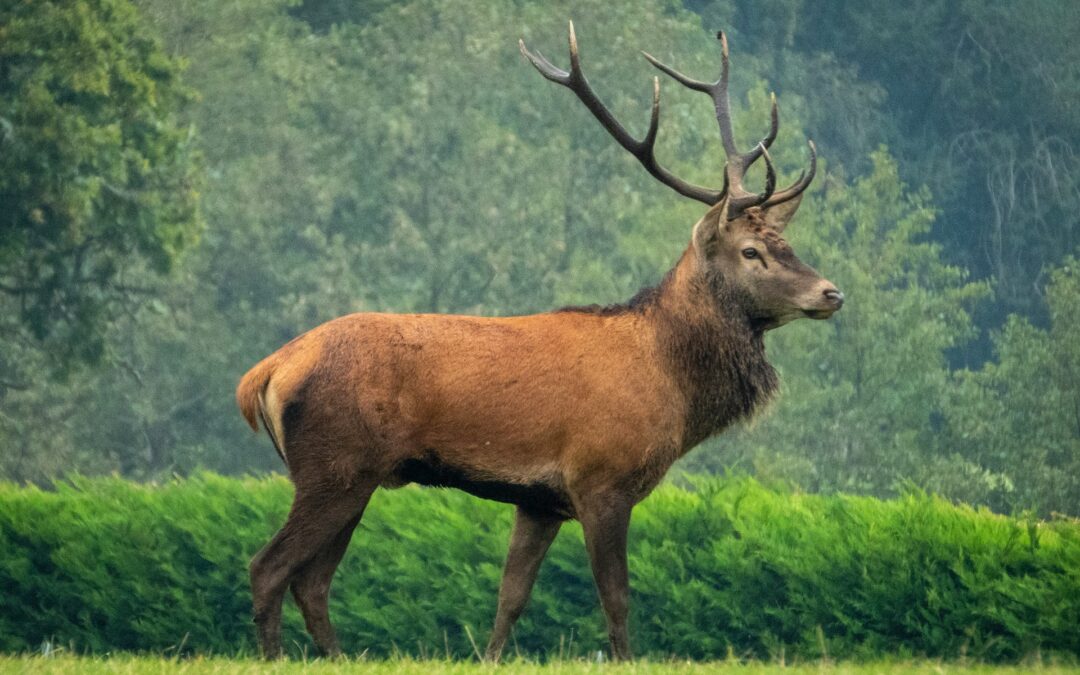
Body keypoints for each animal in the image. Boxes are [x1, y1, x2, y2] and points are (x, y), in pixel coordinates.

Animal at [236, 22, 843, 661]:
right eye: (751, 252)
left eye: (786, 243)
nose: (831, 292)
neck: (672, 386)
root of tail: (265, 373)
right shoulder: (601, 479)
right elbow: (616, 598)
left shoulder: (538, 499)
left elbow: (512, 595)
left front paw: (490, 657)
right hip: (335, 465)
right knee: (269, 567)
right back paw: (276, 656)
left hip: (353, 474)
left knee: (312, 580)